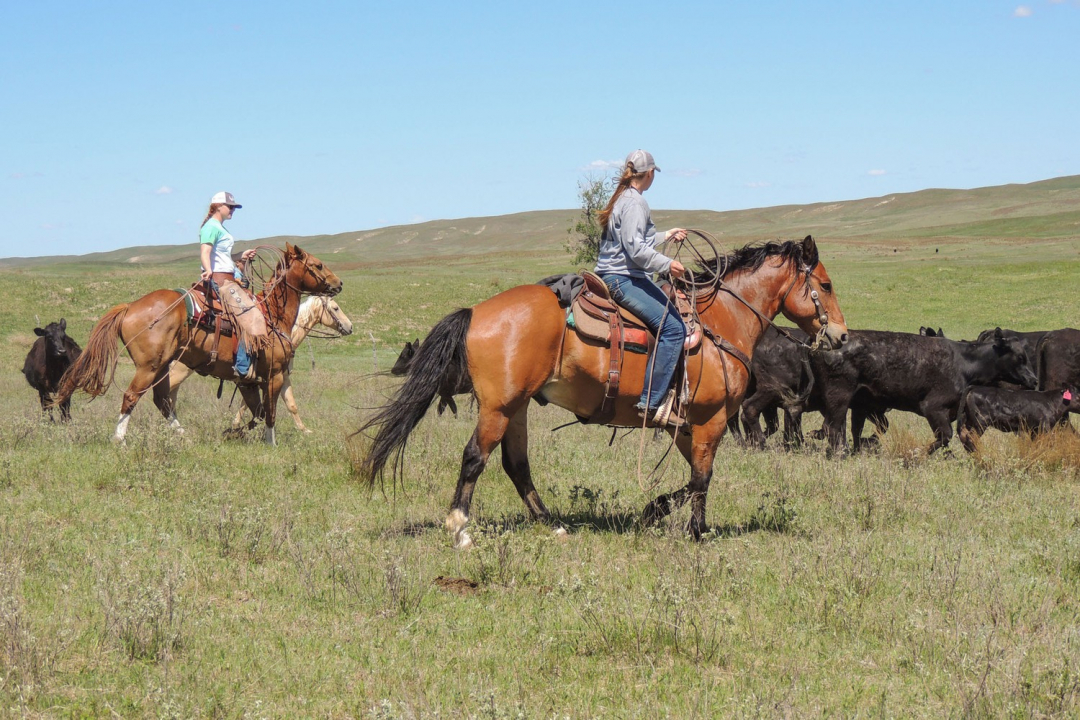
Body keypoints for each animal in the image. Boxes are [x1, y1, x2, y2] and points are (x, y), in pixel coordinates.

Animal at [166, 293, 354, 433]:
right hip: (178, 372)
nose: (350, 327)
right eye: (336, 308)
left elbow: (290, 404)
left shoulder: (277, 378)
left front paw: (304, 430)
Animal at [358, 236, 846, 546]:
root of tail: (476, 311)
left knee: (517, 465)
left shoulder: (685, 424)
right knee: (475, 458)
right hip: (499, 407)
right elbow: (702, 478)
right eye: (825, 285)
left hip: (517, 406)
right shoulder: (711, 419)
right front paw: (694, 532)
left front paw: (655, 512)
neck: (719, 322)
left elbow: (693, 477)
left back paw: (552, 524)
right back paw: (460, 528)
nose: (840, 335)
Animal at [812, 328, 1036, 453]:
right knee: (832, 428)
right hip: (839, 397)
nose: (1033, 380)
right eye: (1020, 357)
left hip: (859, 403)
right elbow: (945, 436)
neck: (965, 363)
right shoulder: (933, 407)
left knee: (853, 430)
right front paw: (918, 453)